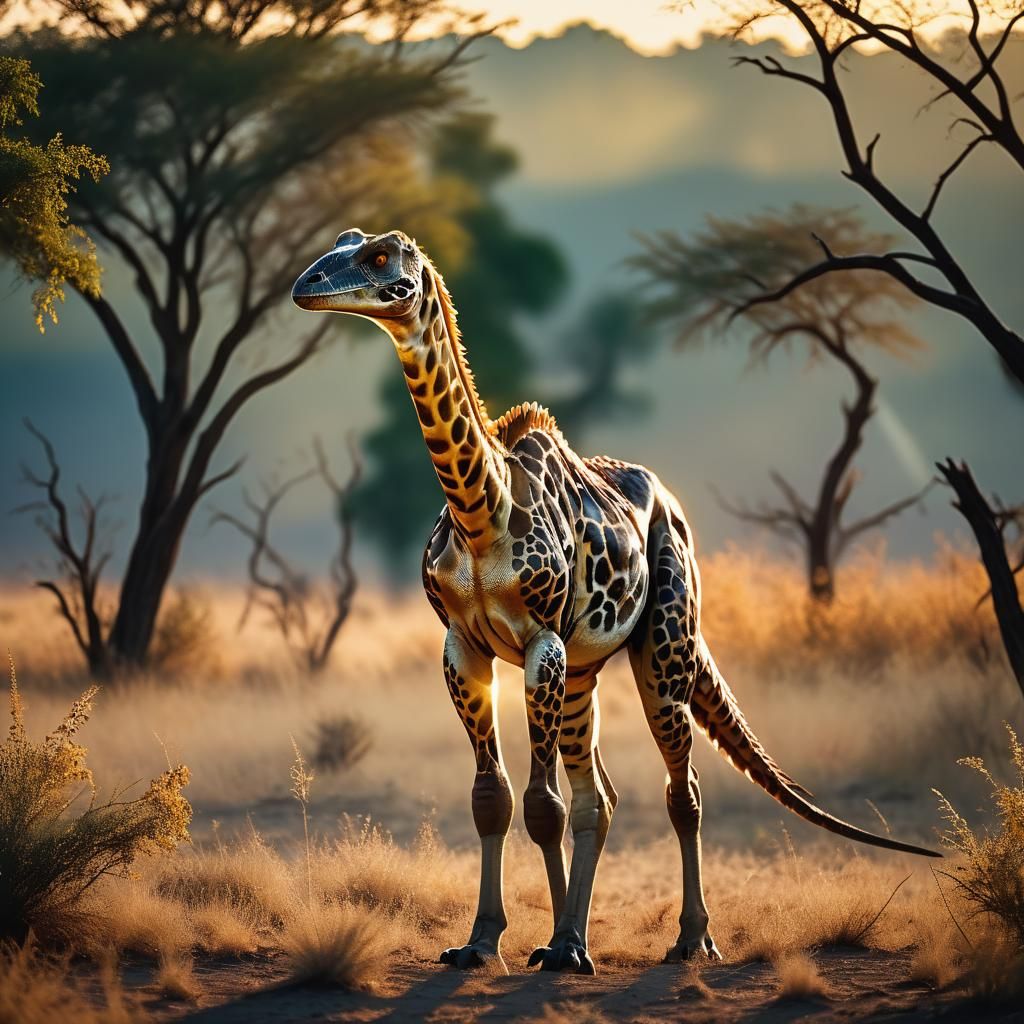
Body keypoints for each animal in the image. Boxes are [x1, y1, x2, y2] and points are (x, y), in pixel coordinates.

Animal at [292, 228, 940, 975]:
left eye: (379, 256)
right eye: (341, 244)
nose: (306, 284)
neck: (482, 510)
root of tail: (677, 510)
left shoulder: (541, 640)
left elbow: (541, 804)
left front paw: (552, 945)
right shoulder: (463, 647)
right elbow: (496, 799)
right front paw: (486, 942)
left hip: (664, 646)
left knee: (680, 791)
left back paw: (688, 941)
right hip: (582, 673)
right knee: (598, 797)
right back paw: (574, 938)